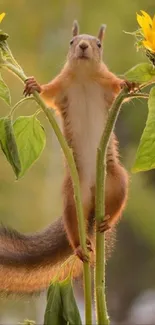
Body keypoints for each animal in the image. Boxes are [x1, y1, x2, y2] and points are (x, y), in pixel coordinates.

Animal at [0, 20, 133, 294]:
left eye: (99, 44)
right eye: (72, 42)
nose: (82, 46)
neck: (83, 76)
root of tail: (93, 203)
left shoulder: (107, 84)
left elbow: (118, 87)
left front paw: (129, 84)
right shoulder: (61, 87)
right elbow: (47, 94)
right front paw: (34, 85)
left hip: (117, 180)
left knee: (116, 206)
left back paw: (106, 222)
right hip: (72, 195)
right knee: (73, 224)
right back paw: (79, 246)